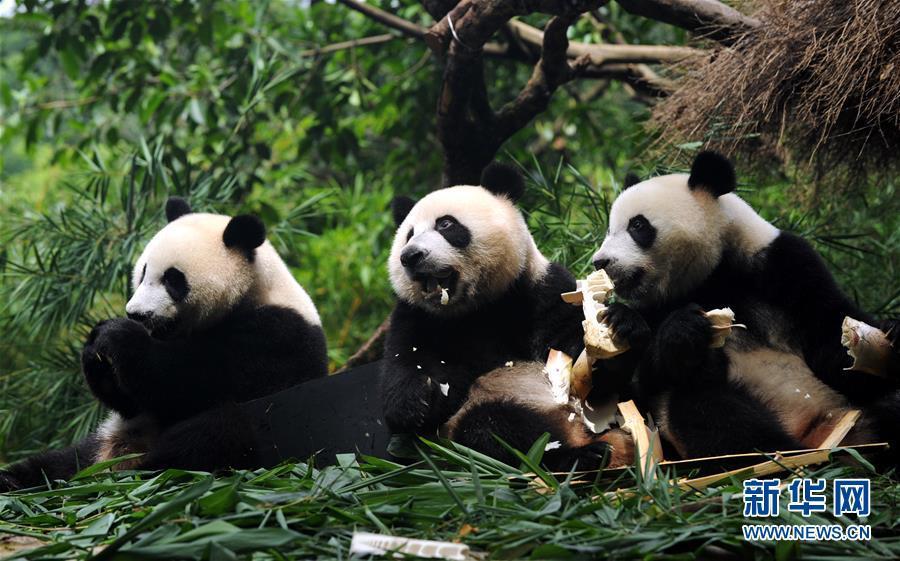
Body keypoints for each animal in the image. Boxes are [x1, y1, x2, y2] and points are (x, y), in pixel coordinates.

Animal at [0, 198, 326, 490]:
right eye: (143, 272)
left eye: (172, 279)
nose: (137, 314)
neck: (254, 291)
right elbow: (133, 402)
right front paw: (96, 349)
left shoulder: (273, 337)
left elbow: (188, 385)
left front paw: (119, 335)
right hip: (101, 440)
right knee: (61, 461)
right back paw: (18, 479)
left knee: (216, 432)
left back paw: (142, 470)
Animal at [382, 164, 632, 470]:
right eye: (408, 234)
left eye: (446, 225)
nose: (410, 256)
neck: (475, 309)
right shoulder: (415, 316)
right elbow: (404, 364)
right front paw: (418, 402)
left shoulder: (541, 289)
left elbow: (567, 346)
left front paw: (608, 336)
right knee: (493, 430)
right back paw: (583, 454)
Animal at [596, 151, 896, 458]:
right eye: (609, 229)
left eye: (637, 225)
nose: (600, 262)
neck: (712, 276)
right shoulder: (658, 307)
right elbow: (638, 386)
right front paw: (648, 325)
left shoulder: (783, 265)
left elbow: (831, 342)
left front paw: (886, 334)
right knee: (704, 408)